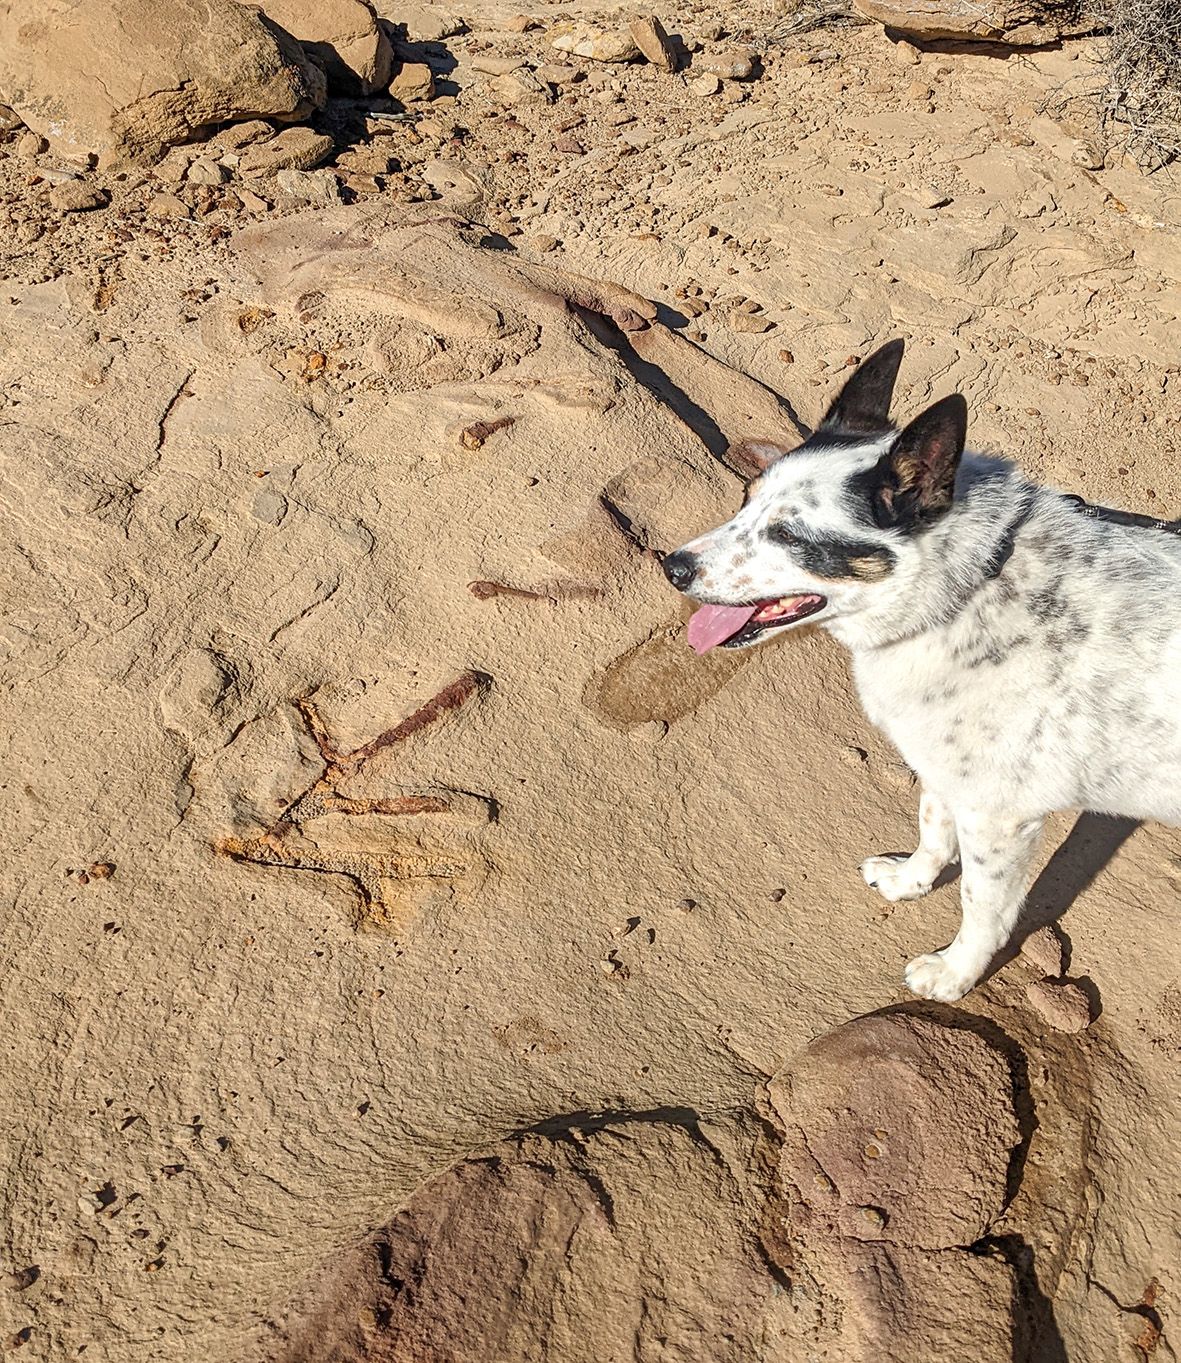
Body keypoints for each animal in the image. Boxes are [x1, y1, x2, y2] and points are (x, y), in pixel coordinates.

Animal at [662, 340, 1178, 1003]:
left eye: (788, 534)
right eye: (745, 499)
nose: (672, 567)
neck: (968, 590)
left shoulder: (1000, 818)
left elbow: (981, 905)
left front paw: (956, 973)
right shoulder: (943, 766)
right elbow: (933, 828)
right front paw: (910, 881)